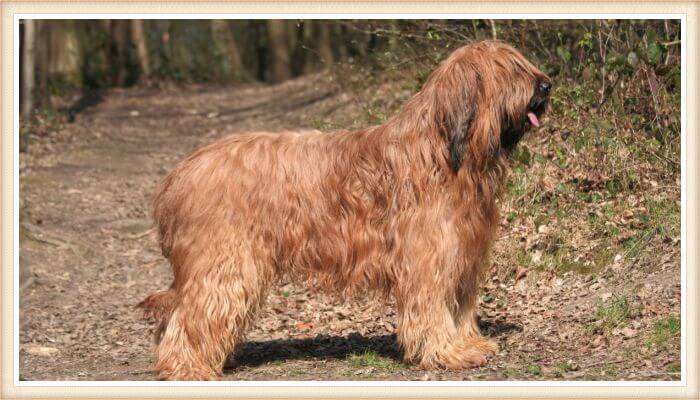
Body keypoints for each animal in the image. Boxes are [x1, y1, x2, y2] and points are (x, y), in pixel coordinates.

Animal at [138, 40, 552, 382]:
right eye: (511, 69)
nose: (546, 85)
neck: (444, 152)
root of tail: (179, 174)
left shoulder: (464, 253)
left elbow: (461, 305)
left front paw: (468, 344)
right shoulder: (429, 258)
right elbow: (433, 306)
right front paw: (447, 352)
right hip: (224, 261)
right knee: (193, 312)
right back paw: (186, 366)